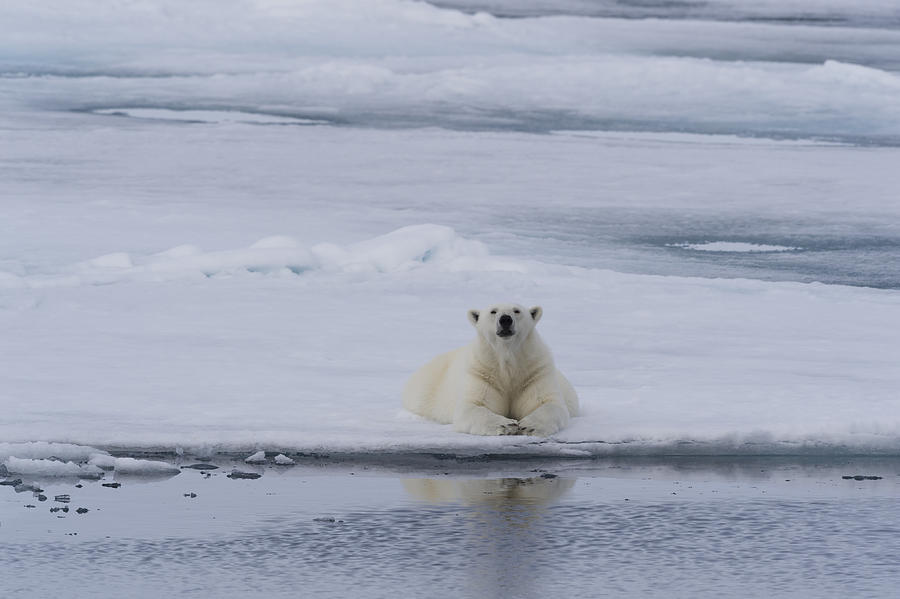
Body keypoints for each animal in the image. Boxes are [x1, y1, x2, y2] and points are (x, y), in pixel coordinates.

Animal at [404, 304, 580, 436]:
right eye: (493, 311)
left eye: (517, 310)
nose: (505, 319)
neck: (507, 360)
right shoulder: (482, 372)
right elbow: (472, 406)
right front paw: (507, 425)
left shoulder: (534, 372)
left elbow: (549, 403)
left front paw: (529, 426)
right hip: (426, 387)